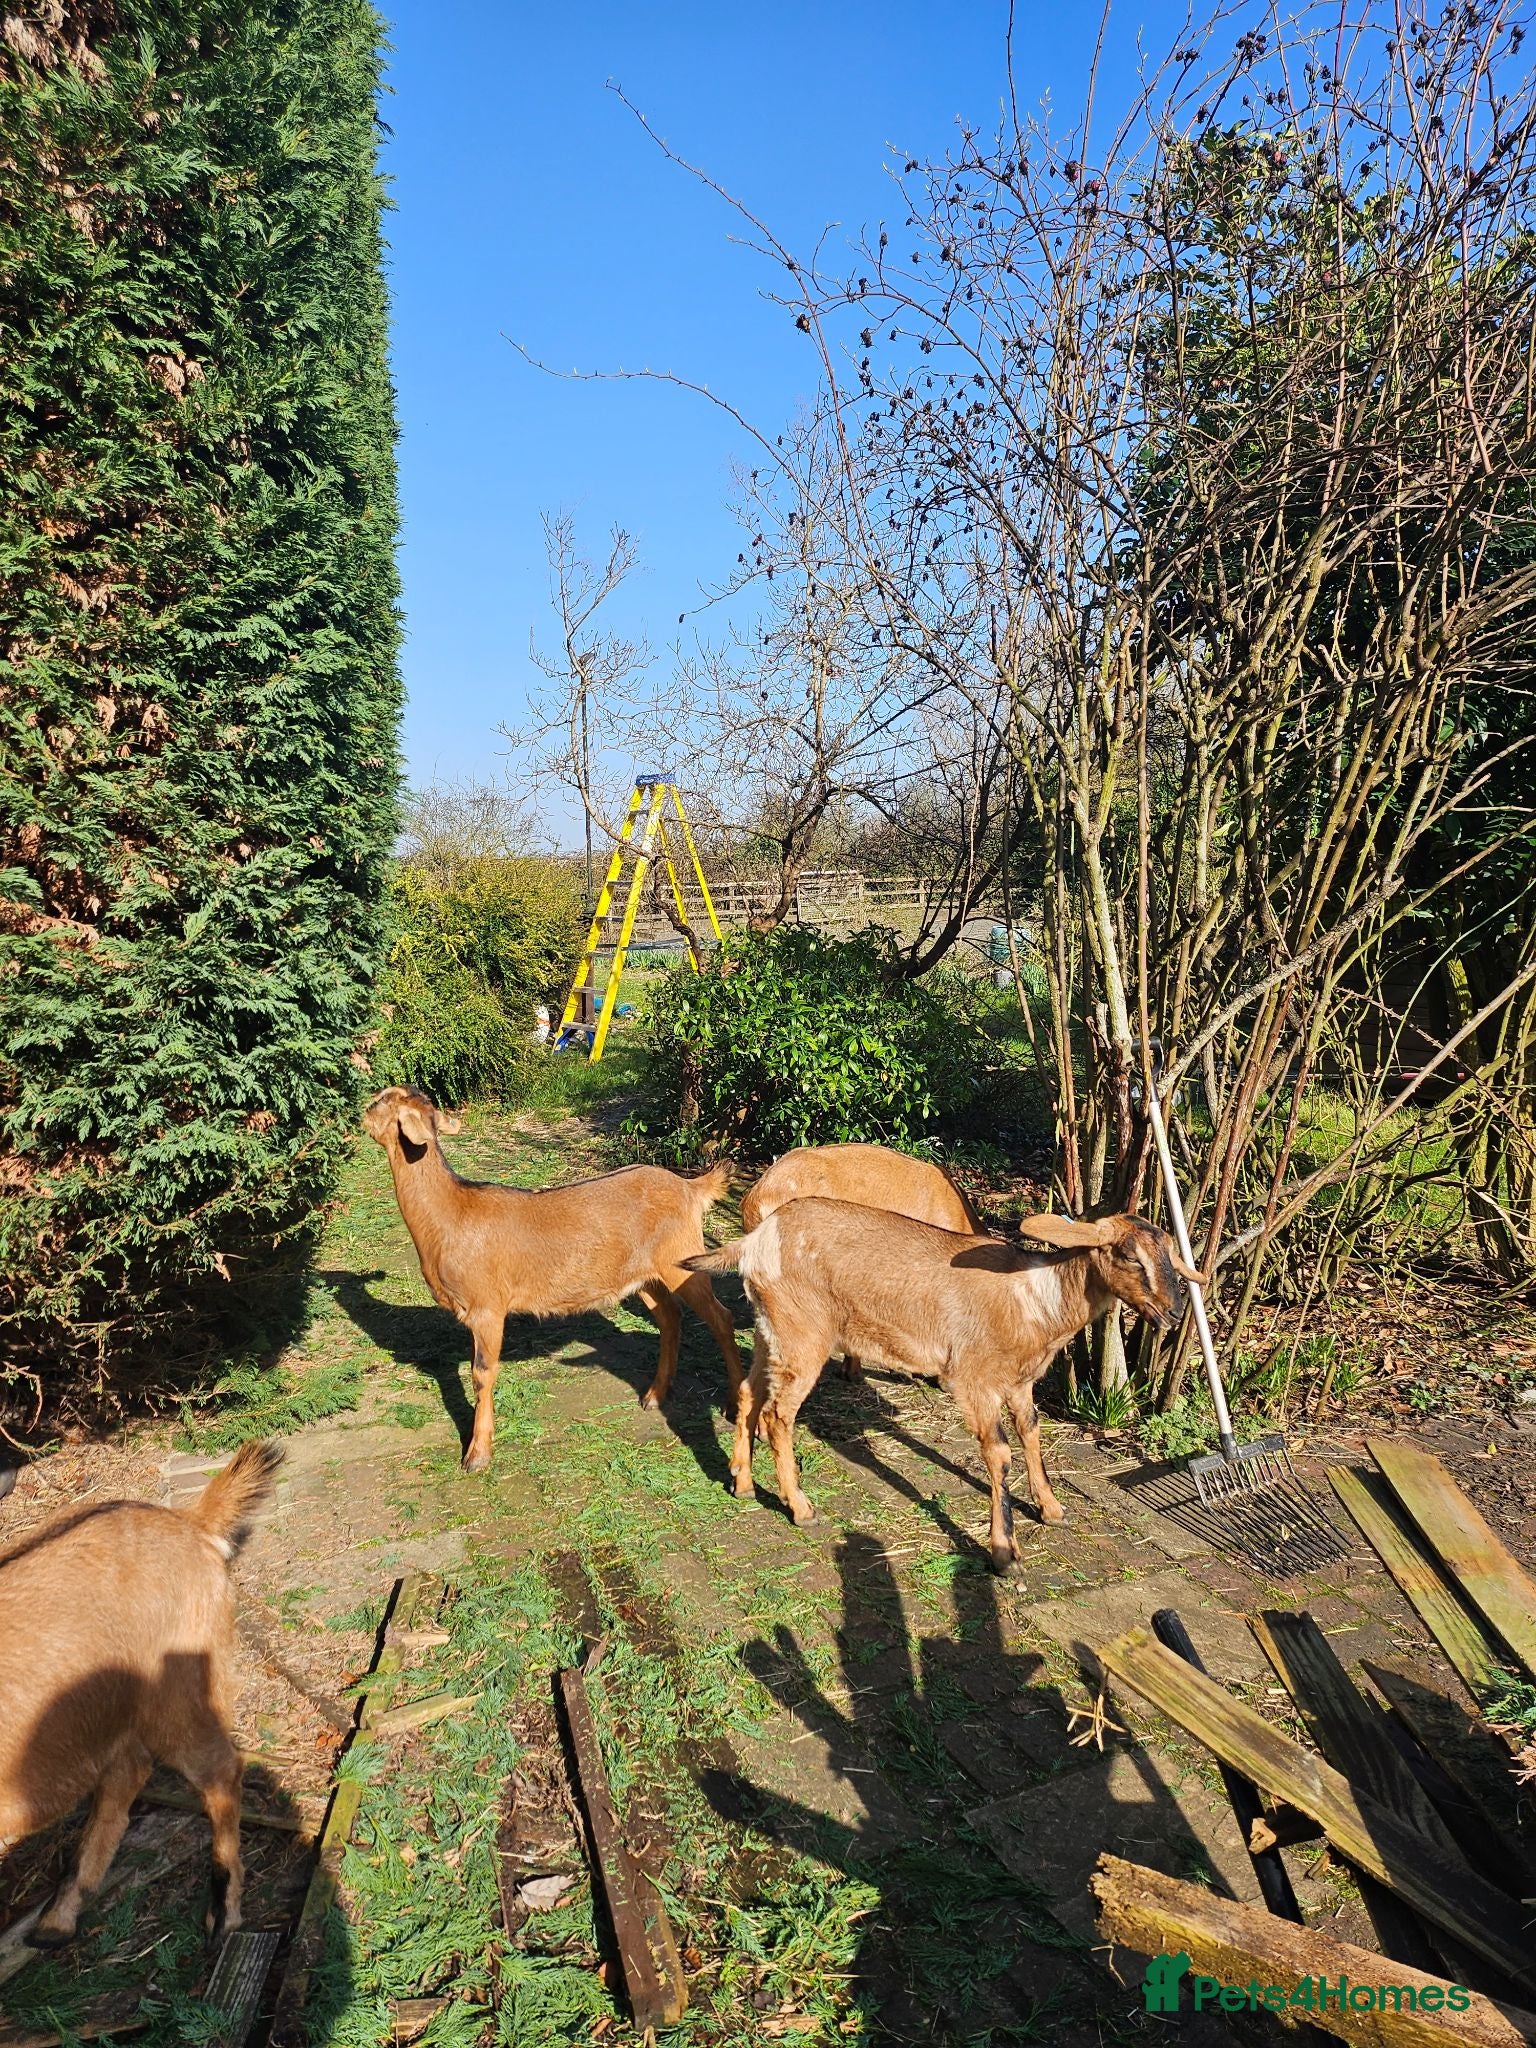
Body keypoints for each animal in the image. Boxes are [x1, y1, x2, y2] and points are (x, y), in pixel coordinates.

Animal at [0, 1440, 281, 1945]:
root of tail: (190, 1522)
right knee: (127, 1773)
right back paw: (60, 1914)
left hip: (179, 1691)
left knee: (220, 1770)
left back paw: (224, 1908)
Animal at [363, 1086, 744, 1471]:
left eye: (381, 1101)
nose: (361, 1112)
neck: (451, 1214)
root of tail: (691, 1188)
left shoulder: (487, 1309)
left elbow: (482, 1374)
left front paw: (477, 1454)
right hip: (646, 1276)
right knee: (670, 1317)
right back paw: (654, 1395)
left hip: (685, 1261)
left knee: (721, 1317)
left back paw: (732, 1404)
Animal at [686, 1203, 1196, 1572]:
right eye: (1128, 1255)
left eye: (1170, 1257)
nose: (1173, 1314)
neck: (1036, 1298)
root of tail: (755, 1241)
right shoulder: (975, 1379)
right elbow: (1000, 1453)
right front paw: (1005, 1553)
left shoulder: (1019, 1383)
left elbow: (1031, 1431)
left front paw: (1050, 1508)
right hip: (803, 1334)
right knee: (779, 1414)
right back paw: (800, 1507)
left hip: (771, 1332)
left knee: (749, 1393)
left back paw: (742, 1482)